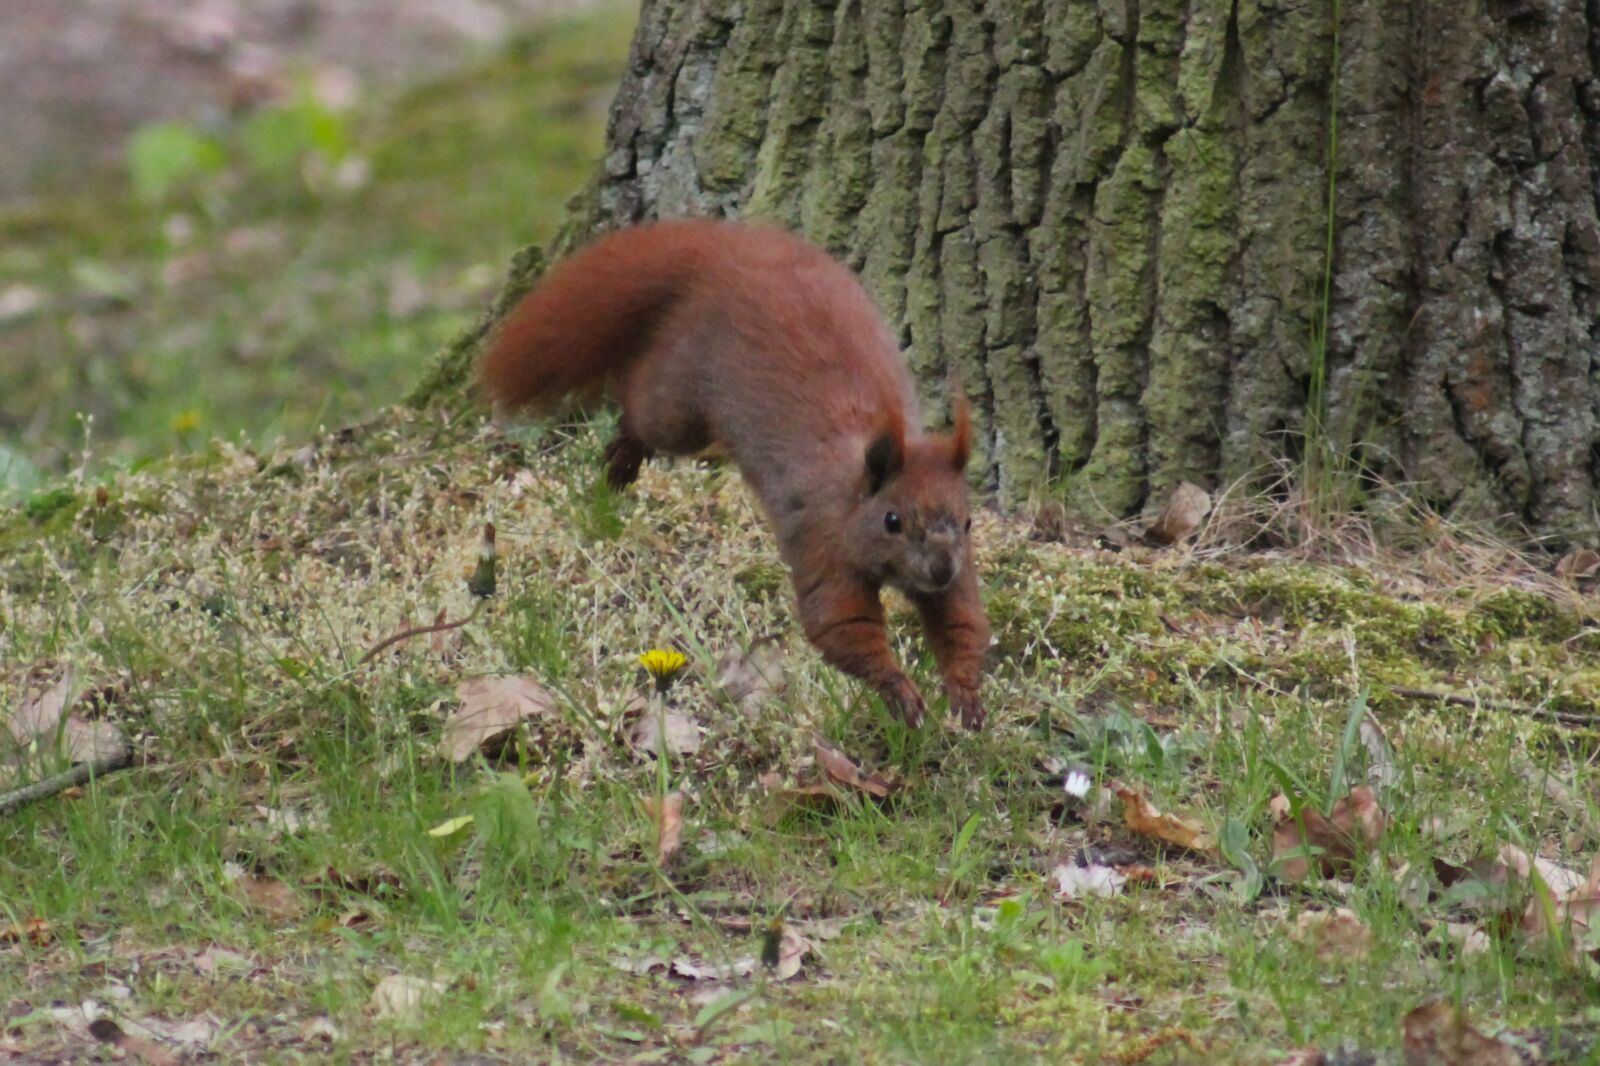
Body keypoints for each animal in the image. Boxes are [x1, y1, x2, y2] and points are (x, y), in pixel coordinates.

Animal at [479, 217, 991, 730]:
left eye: (968, 522)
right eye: (892, 520)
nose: (941, 568)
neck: (851, 494)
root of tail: (727, 251)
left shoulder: (953, 578)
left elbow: (961, 621)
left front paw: (966, 692)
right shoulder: (821, 541)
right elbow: (839, 624)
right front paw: (897, 688)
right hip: (680, 398)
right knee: (642, 402)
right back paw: (623, 454)